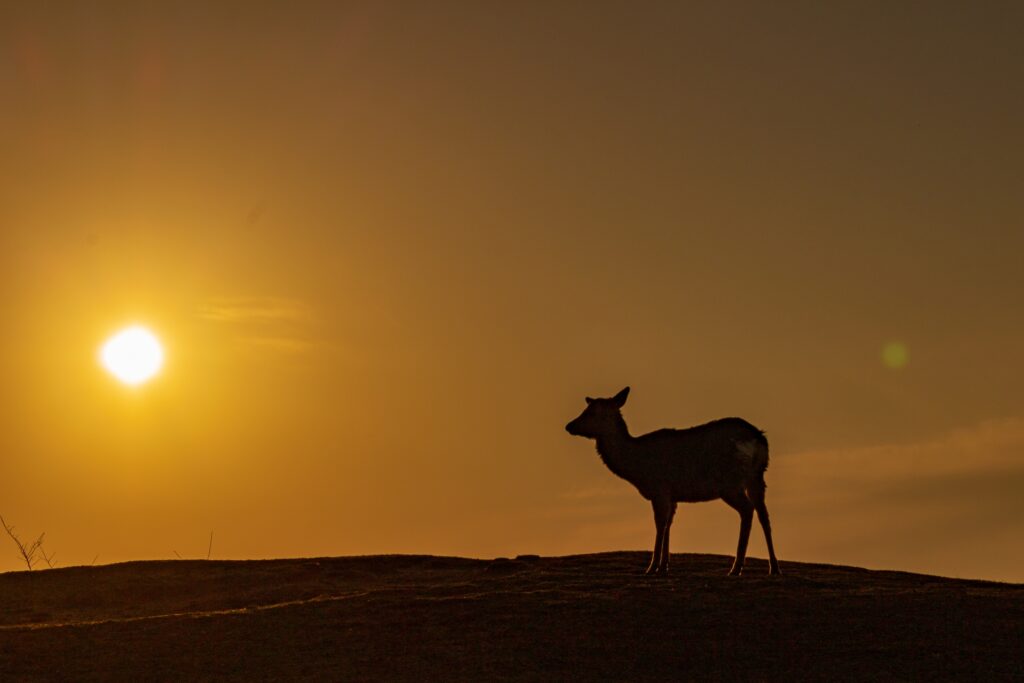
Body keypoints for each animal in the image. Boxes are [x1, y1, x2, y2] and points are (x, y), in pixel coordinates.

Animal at [565, 387, 780, 576]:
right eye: (586, 408)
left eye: (593, 412)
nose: (569, 425)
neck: (637, 467)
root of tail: (759, 439)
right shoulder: (673, 496)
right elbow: (669, 524)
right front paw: (664, 566)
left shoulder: (659, 489)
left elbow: (660, 524)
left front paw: (652, 567)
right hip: (757, 478)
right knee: (764, 515)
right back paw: (774, 568)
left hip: (730, 483)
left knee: (747, 510)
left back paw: (736, 568)